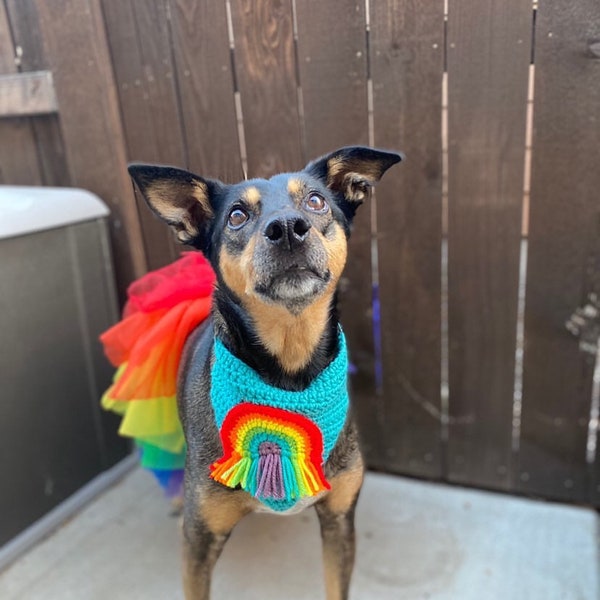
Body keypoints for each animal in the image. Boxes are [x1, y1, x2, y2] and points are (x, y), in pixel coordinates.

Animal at [130, 146, 404, 600]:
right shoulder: (198, 540)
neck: (289, 375)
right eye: (237, 215)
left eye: (316, 201)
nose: (288, 228)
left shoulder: (340, 520)